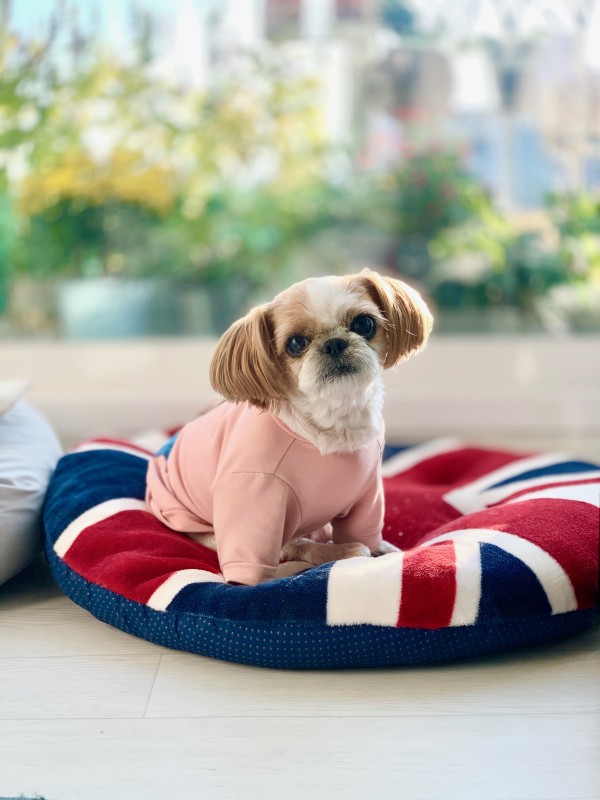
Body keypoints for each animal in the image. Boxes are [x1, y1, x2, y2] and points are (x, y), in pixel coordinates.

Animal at [146, 269, 433, 585]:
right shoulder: (253, 495)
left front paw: (382, 548)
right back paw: (339, 550)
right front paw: (341, 552)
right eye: (295, 343)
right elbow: (261, 577)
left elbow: (367, 532)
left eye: (364, 324)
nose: (334, 343)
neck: (333, 424)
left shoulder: (367, 495)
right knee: (293, 546)